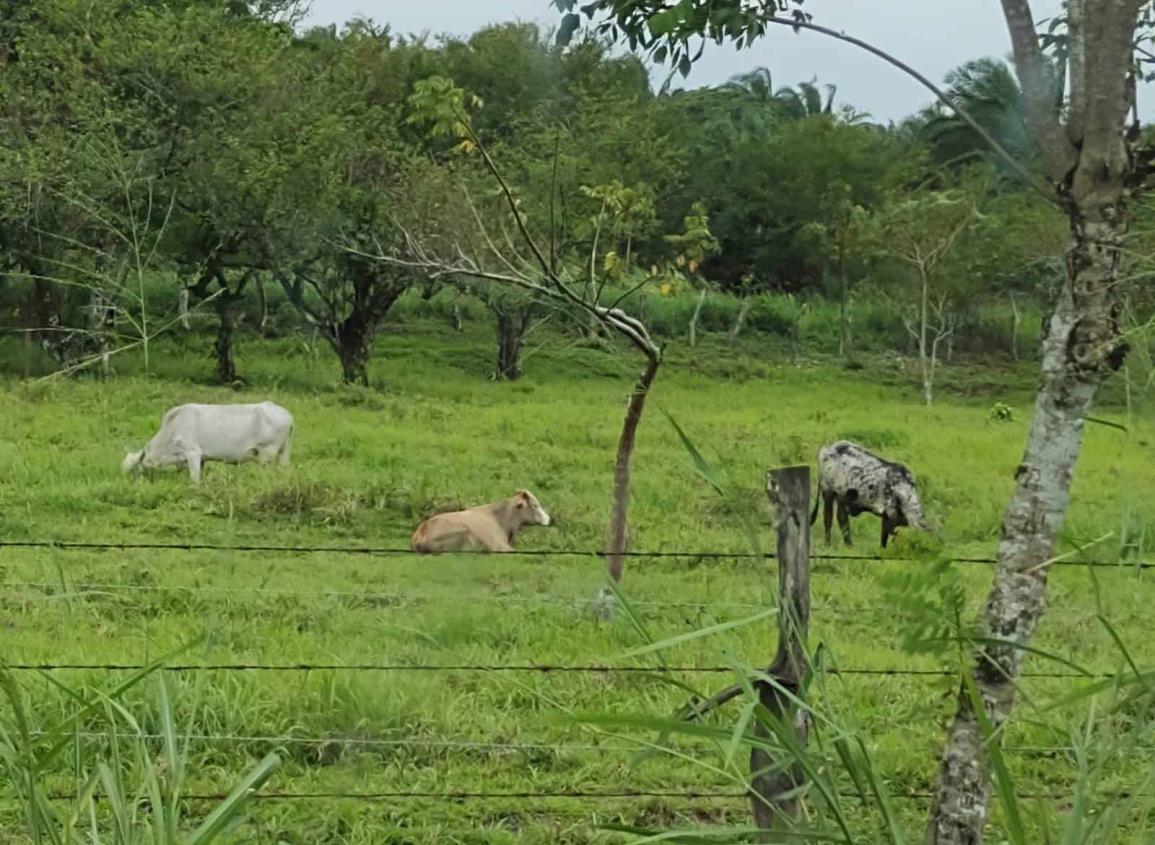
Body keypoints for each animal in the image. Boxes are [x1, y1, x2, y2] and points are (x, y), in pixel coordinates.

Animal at [120, 401, 293, 482]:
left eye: (134, 471)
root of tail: (287, 414)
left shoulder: (193, 453)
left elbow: (195, 478)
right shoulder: (200, 459)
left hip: (267, 455)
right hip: (283, 453)